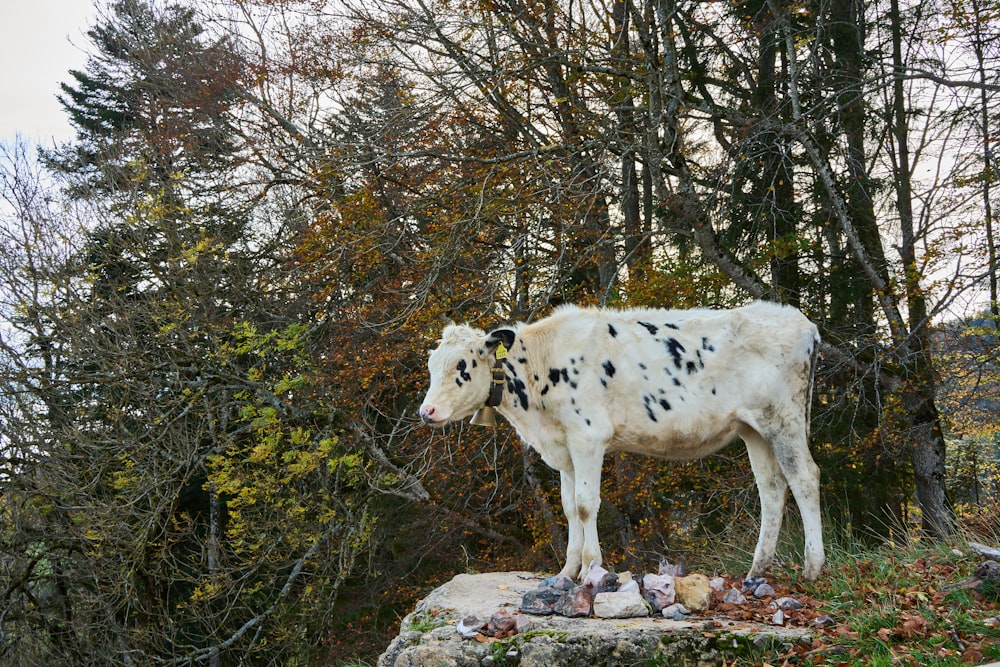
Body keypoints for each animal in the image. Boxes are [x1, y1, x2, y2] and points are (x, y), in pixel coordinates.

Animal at [418, 300, 824, 580]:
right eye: (432, 365)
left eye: (462, 365)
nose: (427, 411)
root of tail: (801, 321)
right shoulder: (565, 446)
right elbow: (568, 507)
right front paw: (567, 572)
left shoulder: (587, 436)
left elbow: (585, 505)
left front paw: (591, 569)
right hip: (753, 428)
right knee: (771, 488)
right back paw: (757, 570)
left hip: (783, 419)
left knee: (805, 478)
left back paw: (813, 568)